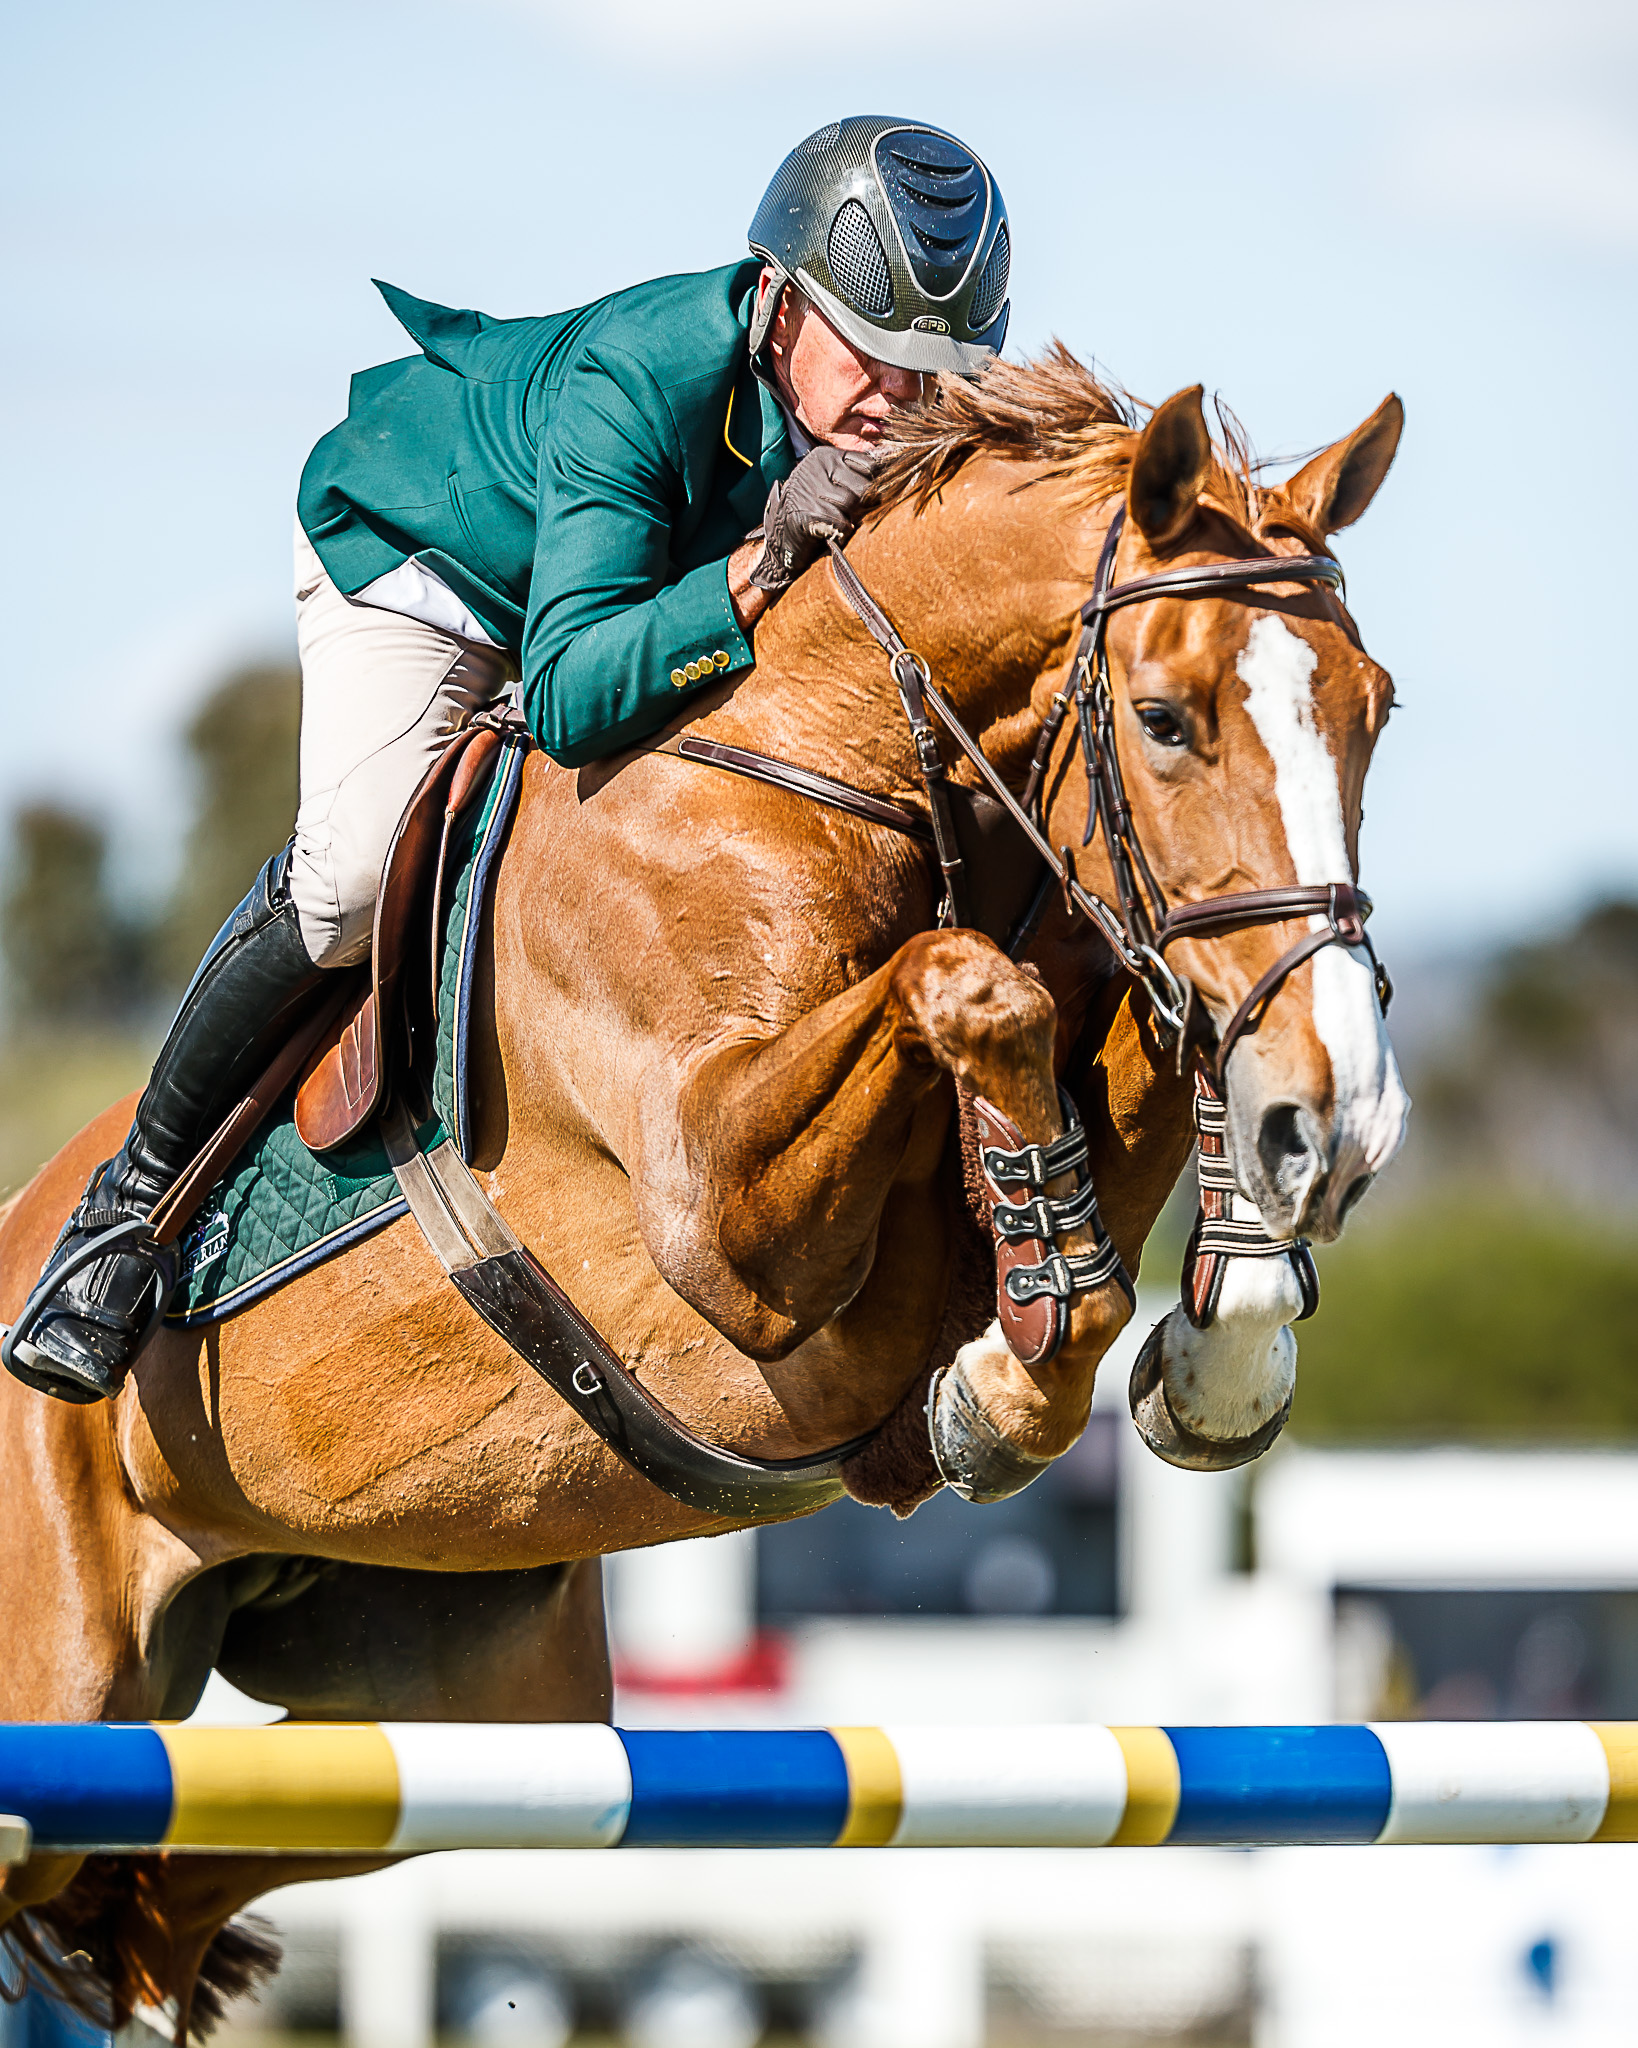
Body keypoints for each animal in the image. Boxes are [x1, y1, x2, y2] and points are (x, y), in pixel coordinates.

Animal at [0, 364, 1408, 2031]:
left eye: (1374, 711)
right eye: (1165, 719)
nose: (1344, 1121)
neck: (831, 759)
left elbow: (1096, 1058)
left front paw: (1196, 1342)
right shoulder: (728, 1231)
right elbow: (968, 986)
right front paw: (1014, 1374)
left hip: (483, 1706)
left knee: (181, 1855)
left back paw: (127, 1938)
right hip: (65, 1655)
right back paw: (90, 1287)